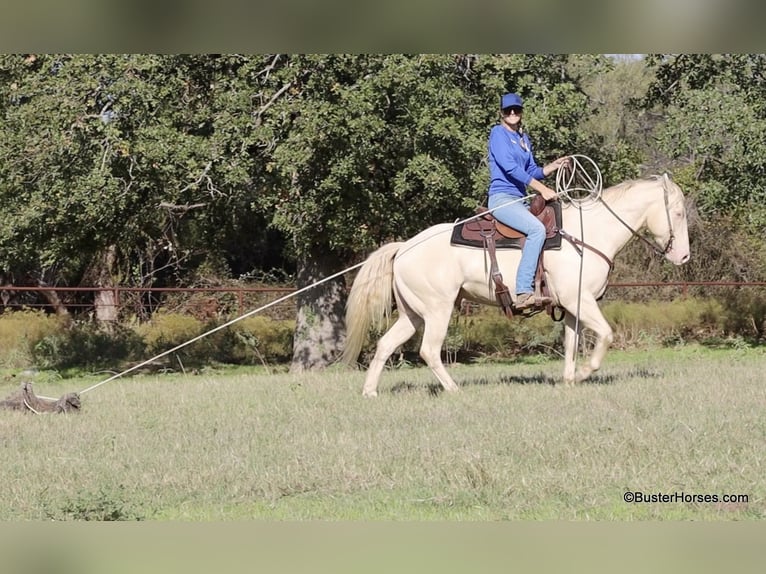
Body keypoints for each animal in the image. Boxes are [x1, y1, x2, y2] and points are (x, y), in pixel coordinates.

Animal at [342, 174, 691, 397]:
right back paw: (454, 390)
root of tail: (403, 248)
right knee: (429, 350)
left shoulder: (573, 307)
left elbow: (570, 344)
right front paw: (584, 373)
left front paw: (569, 381)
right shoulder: (581, 301)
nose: (684, 255)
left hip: (412, 314)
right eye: (677, 212)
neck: (589, 232)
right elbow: (605, 335)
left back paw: (370, 392)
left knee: (386, 344)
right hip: (437, 310)